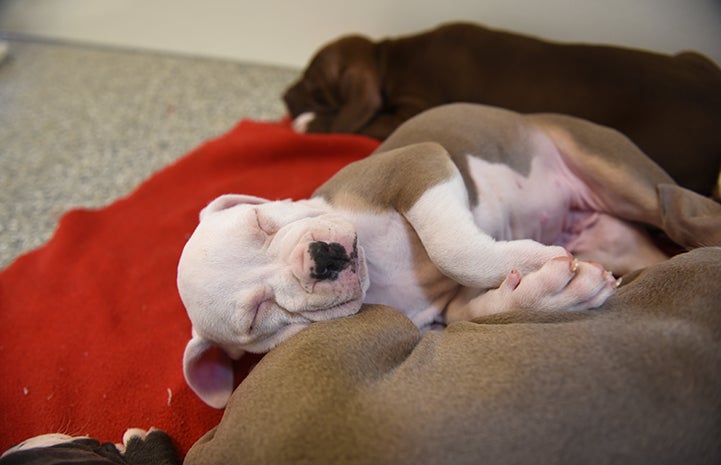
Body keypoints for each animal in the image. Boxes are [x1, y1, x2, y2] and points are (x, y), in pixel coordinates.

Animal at [176, 103, 692, 408]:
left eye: (260, 223)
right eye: (259, 314)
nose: (322, 258)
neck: (381, 275)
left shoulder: (415, 165)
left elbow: (450, 247)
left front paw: (530, 257)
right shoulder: (448, 309)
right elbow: (481, 305)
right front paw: (549, 285)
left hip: (614, 169)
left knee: (681, 211)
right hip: (616, 238)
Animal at [282, 21, 720, 198]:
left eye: (312, 82)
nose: (285, 97)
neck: (391, 58)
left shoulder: (411, 109)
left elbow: (363, 120)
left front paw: (309, 122)